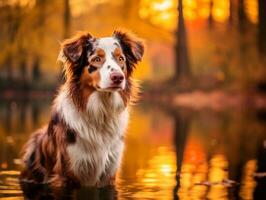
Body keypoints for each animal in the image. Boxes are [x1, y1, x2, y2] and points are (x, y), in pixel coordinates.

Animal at [19, 29, 144, 188]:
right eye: (96, 59)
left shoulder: (110, 172)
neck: (102, 112)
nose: (118, 77)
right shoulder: (67, 173)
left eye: (121, 59)